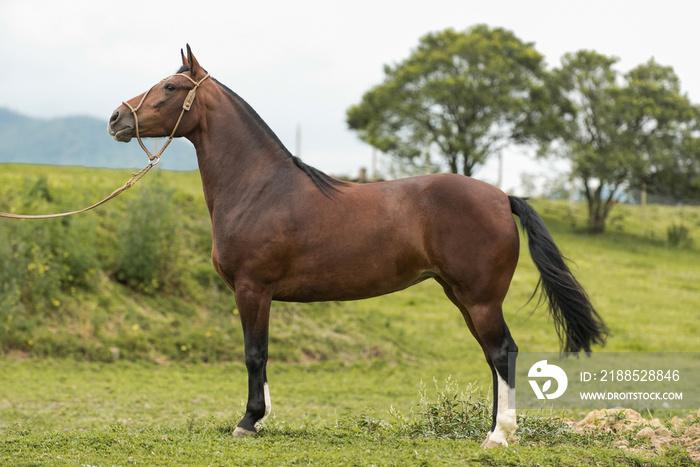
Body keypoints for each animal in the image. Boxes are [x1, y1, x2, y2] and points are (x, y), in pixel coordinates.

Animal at [106, 45, 604, 448]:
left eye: (170, 86)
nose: (116, 119)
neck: (260, 187)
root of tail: (502, 197)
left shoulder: (252, 289)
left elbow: (254, 354)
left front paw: (248, 421)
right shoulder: (258, 295)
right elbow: (261, 356)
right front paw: (262, 418)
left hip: (480, 298)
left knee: (502, 352)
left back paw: (500, 435)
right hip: (461, 296)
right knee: (491, 354)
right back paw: (493, 427)